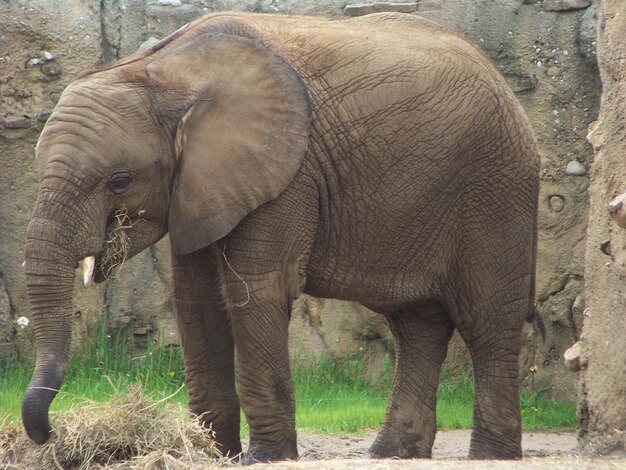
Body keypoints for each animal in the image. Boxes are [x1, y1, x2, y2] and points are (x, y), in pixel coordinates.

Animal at [22, 10, 540, 462]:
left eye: (119, 181)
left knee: (487, 321)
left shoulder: (286, 174)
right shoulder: (201, 187)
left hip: (497, 188)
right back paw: (393, 454)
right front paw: (214, 454)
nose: (50, 434)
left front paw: (264, 458)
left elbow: (255, 292)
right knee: (417, 324)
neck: (163, 71)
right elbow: (196, 298)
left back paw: (490, 456)